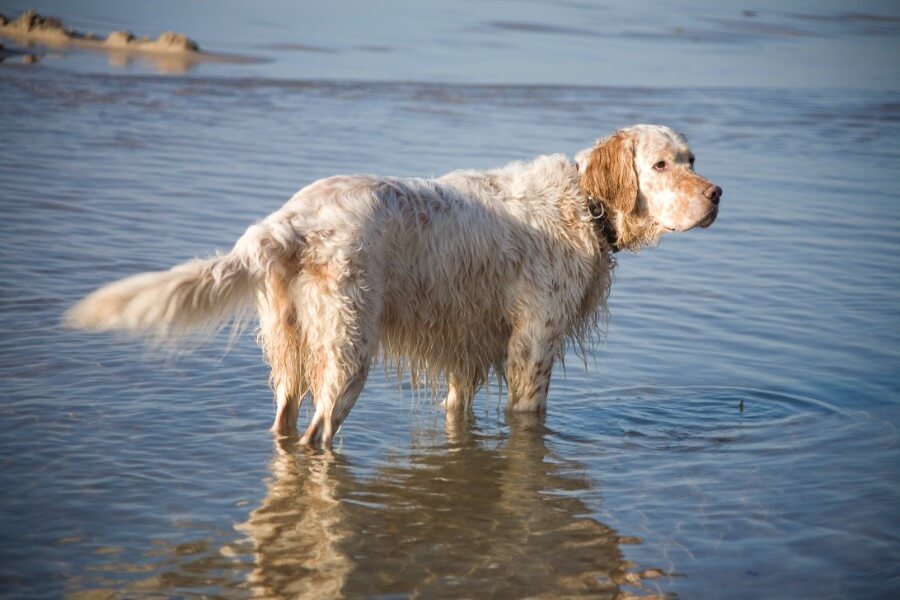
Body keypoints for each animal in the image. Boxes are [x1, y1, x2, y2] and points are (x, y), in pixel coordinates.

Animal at [67, 125, 720, 446]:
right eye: (661, 164)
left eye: (692, 158)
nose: (717, 194)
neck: (584, 205)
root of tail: (288, 223)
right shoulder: (532, 351)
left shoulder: (465, 358)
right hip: (348, 355)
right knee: (317, 437)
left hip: (291, 355)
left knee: (283, 427)